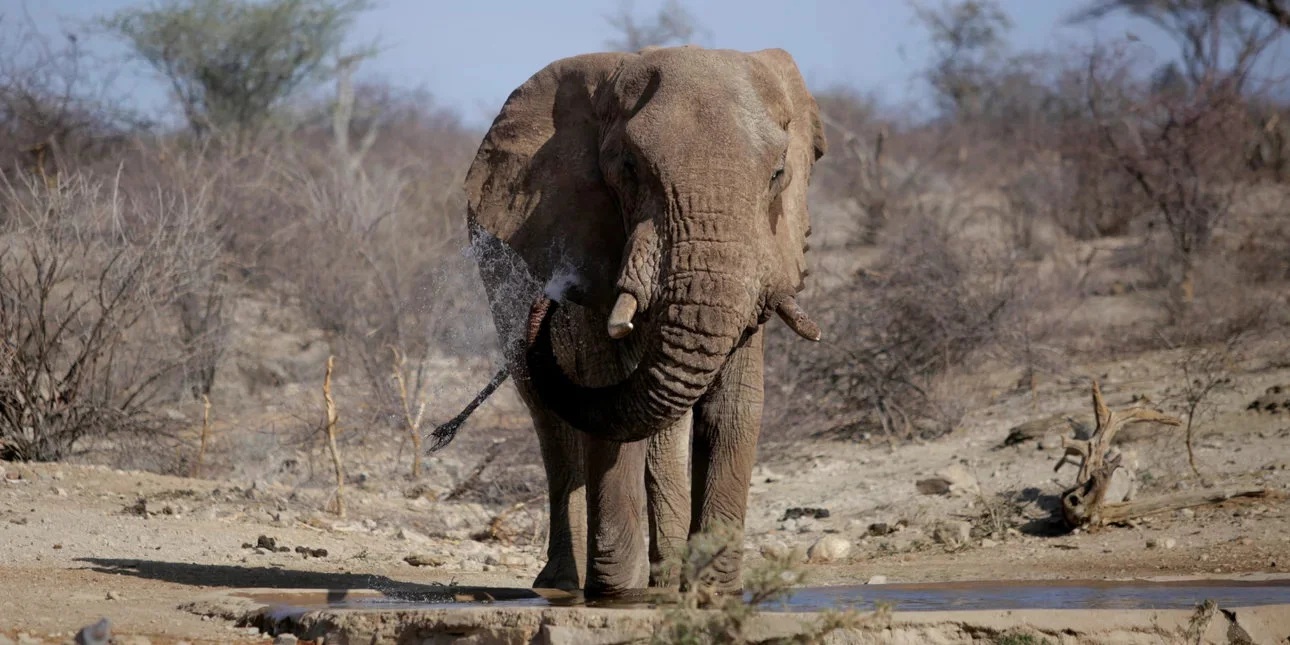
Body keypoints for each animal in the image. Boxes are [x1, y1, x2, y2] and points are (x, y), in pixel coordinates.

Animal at [464, 45, 825, 595]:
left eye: (778, 174)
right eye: (629, 168)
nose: (549, 297)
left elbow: (733, 407)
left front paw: (711, 590)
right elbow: (606, 388)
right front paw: (619, 595)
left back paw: (664, 579)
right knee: (551, 421)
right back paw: (565, 587)